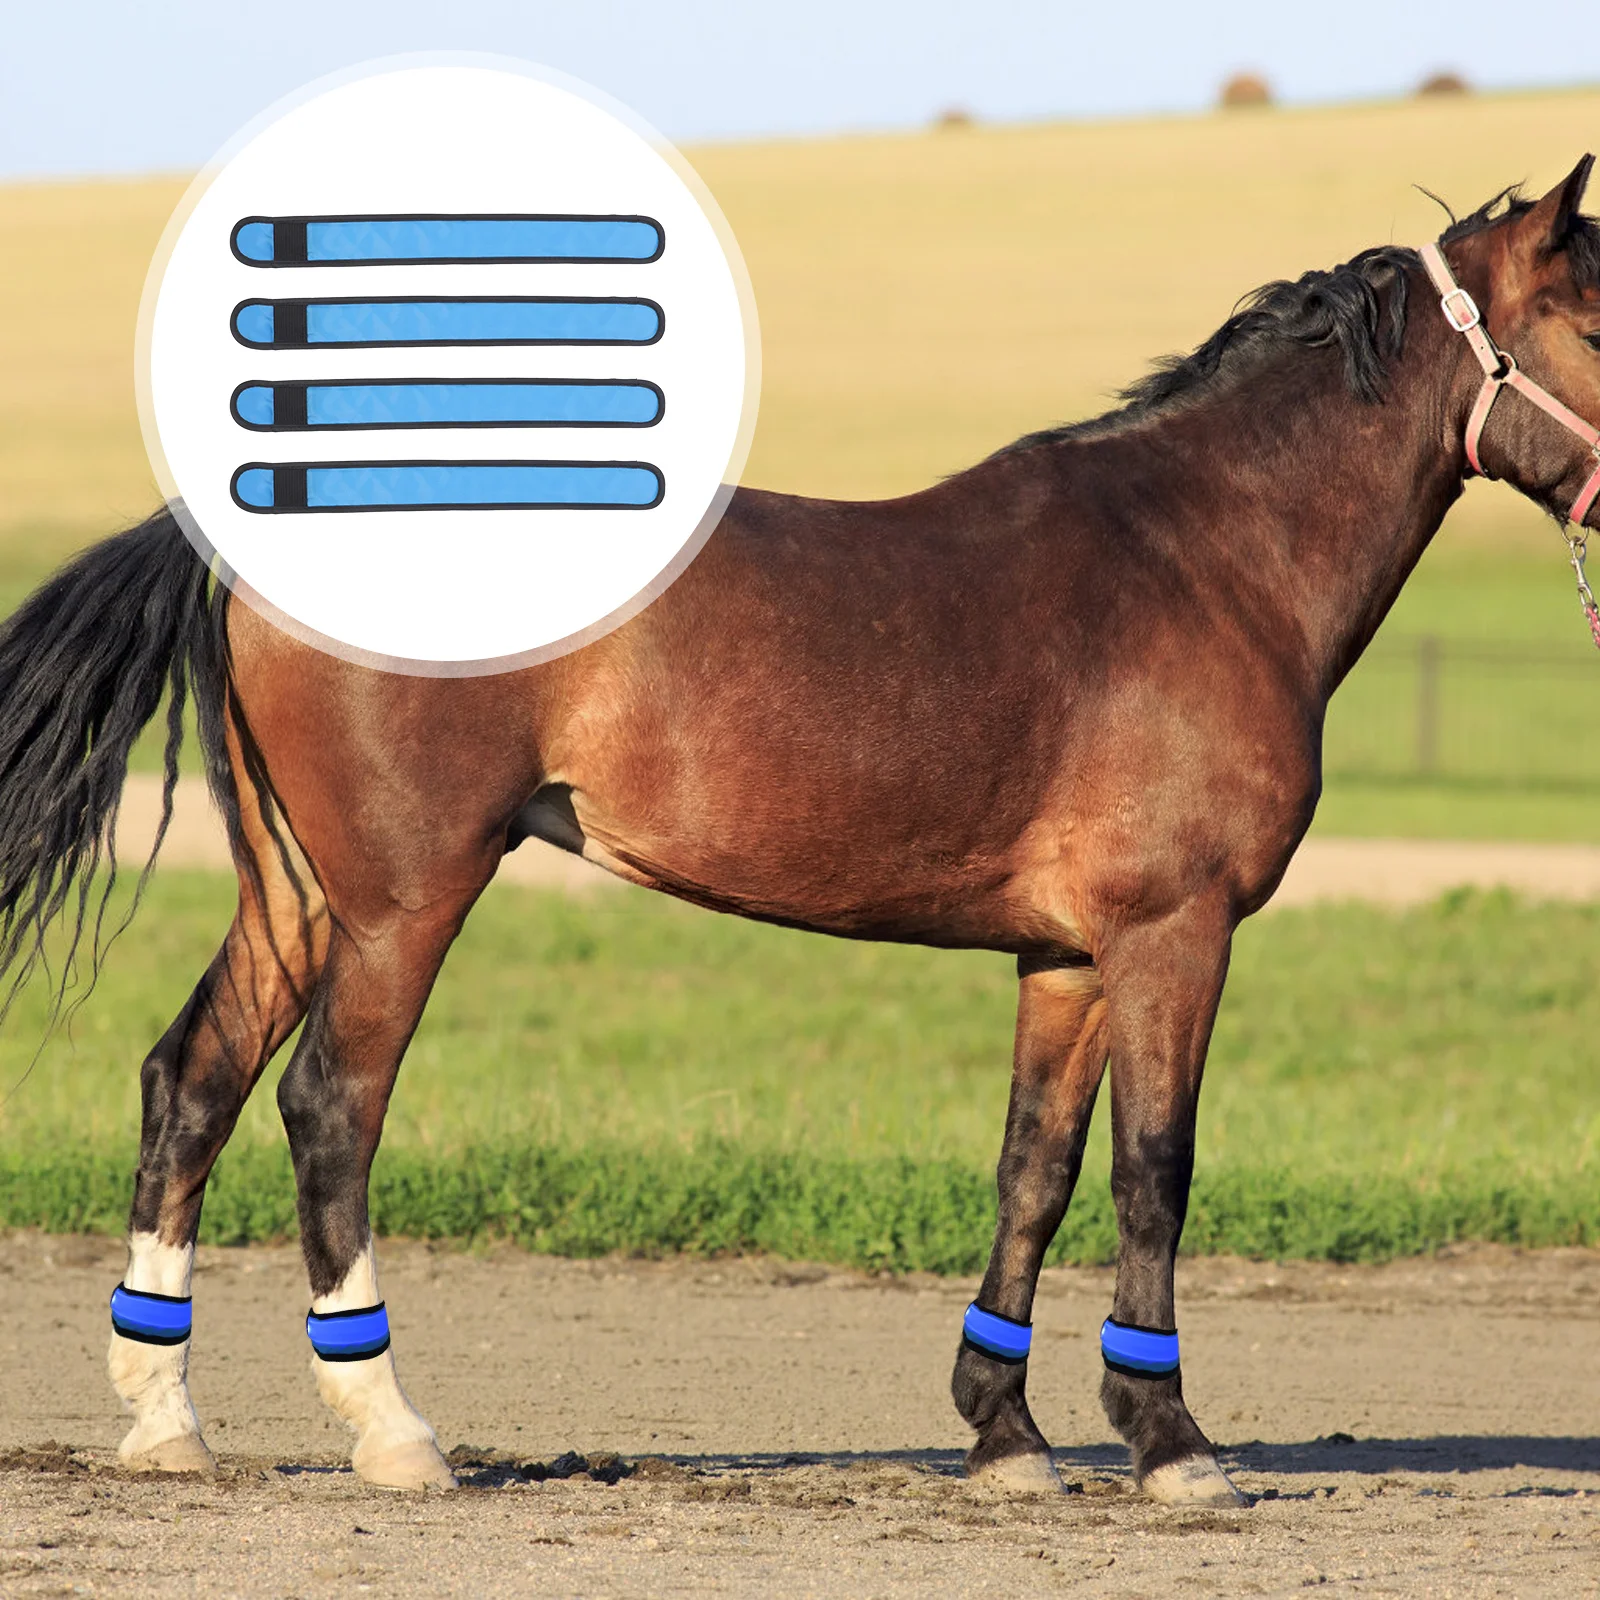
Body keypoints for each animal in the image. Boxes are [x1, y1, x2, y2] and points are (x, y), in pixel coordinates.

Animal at [2, 158, 1597, 1507]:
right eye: (1591, 312)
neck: (1205, 559)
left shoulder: (1069, 960)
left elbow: (1034, 1170)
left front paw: (1006, 1436)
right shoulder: (1173, 933)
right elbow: (1156, 1168)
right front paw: (1171, 1443)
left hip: (296, 891)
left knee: (191, 1081)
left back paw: (165, 1424)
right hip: (405, 899)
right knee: (330, 1106)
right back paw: (391, 1432)